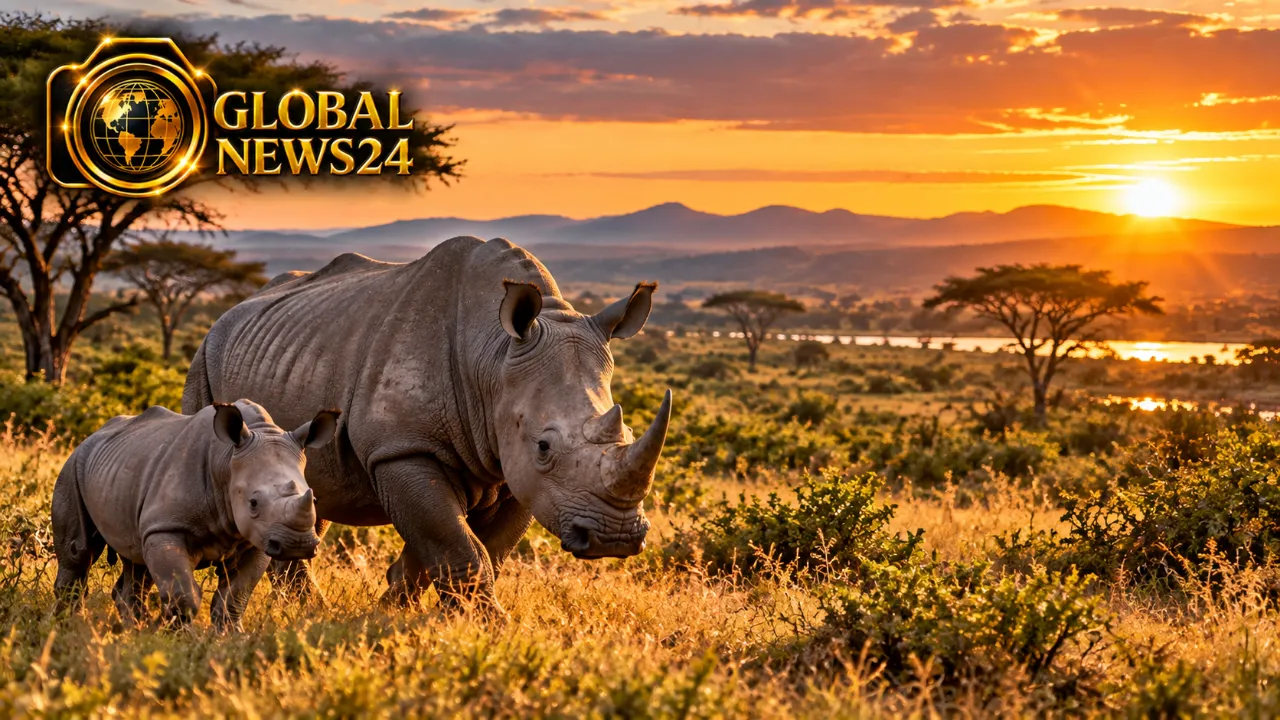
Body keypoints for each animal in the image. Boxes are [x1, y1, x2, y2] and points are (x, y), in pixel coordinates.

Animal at [52, 401, 340, 629]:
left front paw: (229, 639)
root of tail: (93, 434)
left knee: (136, 560)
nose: (297, 545)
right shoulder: (167, 526)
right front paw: (175, 637)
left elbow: (234, 597)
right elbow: (183, 595)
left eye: (314, 499)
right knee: (79, 551)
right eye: (253, 503)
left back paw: (134, 631)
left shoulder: (258, 540)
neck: (226, 461)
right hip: (74, 464)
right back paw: (65, 627)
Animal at [182, 237, 672, 611]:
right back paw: (305, 610)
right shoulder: (403, 448)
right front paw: (485, 627)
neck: (493, 357)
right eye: (544, 446)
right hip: (204, 358)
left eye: (628, 434)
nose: (614, 538)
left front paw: (392, 610)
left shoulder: (514, 472)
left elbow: (480, 550)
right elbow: (459, 548)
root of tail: (231, 311)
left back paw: (306, 610)